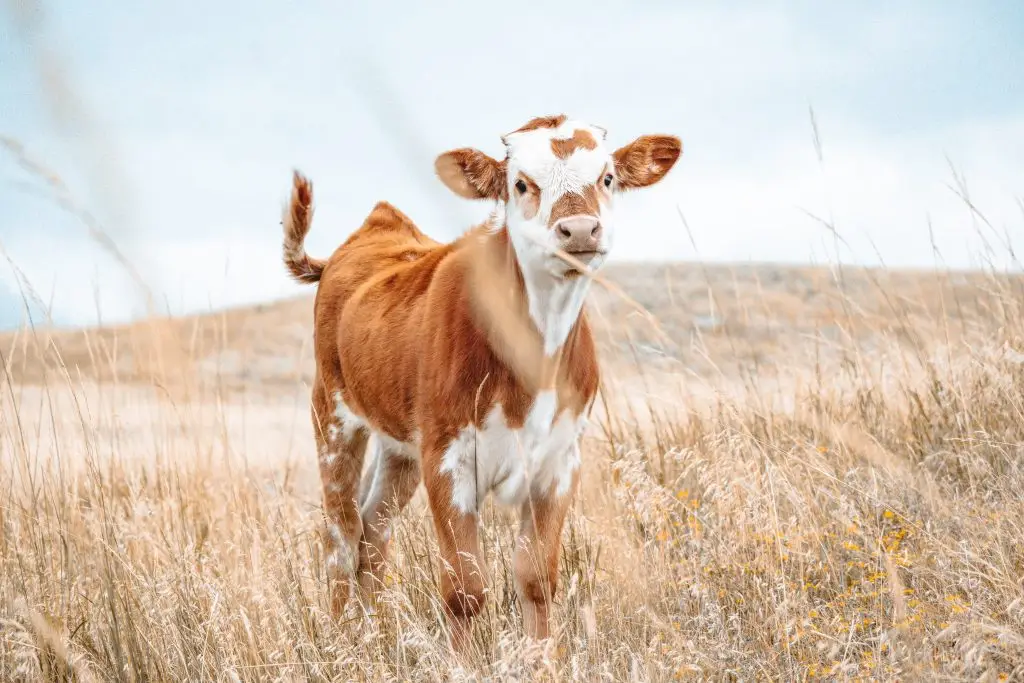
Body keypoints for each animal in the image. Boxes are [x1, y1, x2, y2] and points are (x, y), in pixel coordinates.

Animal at [281, 114, 681, 652]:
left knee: (374, 529)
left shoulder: (559, 461)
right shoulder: (447, 458)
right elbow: (464, 590)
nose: (579, 229)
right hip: (333, 414)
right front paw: (463, 661)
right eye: (521, 184)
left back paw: (374, 638)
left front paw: (543, 659)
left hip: (401, 446)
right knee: (341, 533)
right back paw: (343, 642)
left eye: (608, 178)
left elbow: (537, 579)